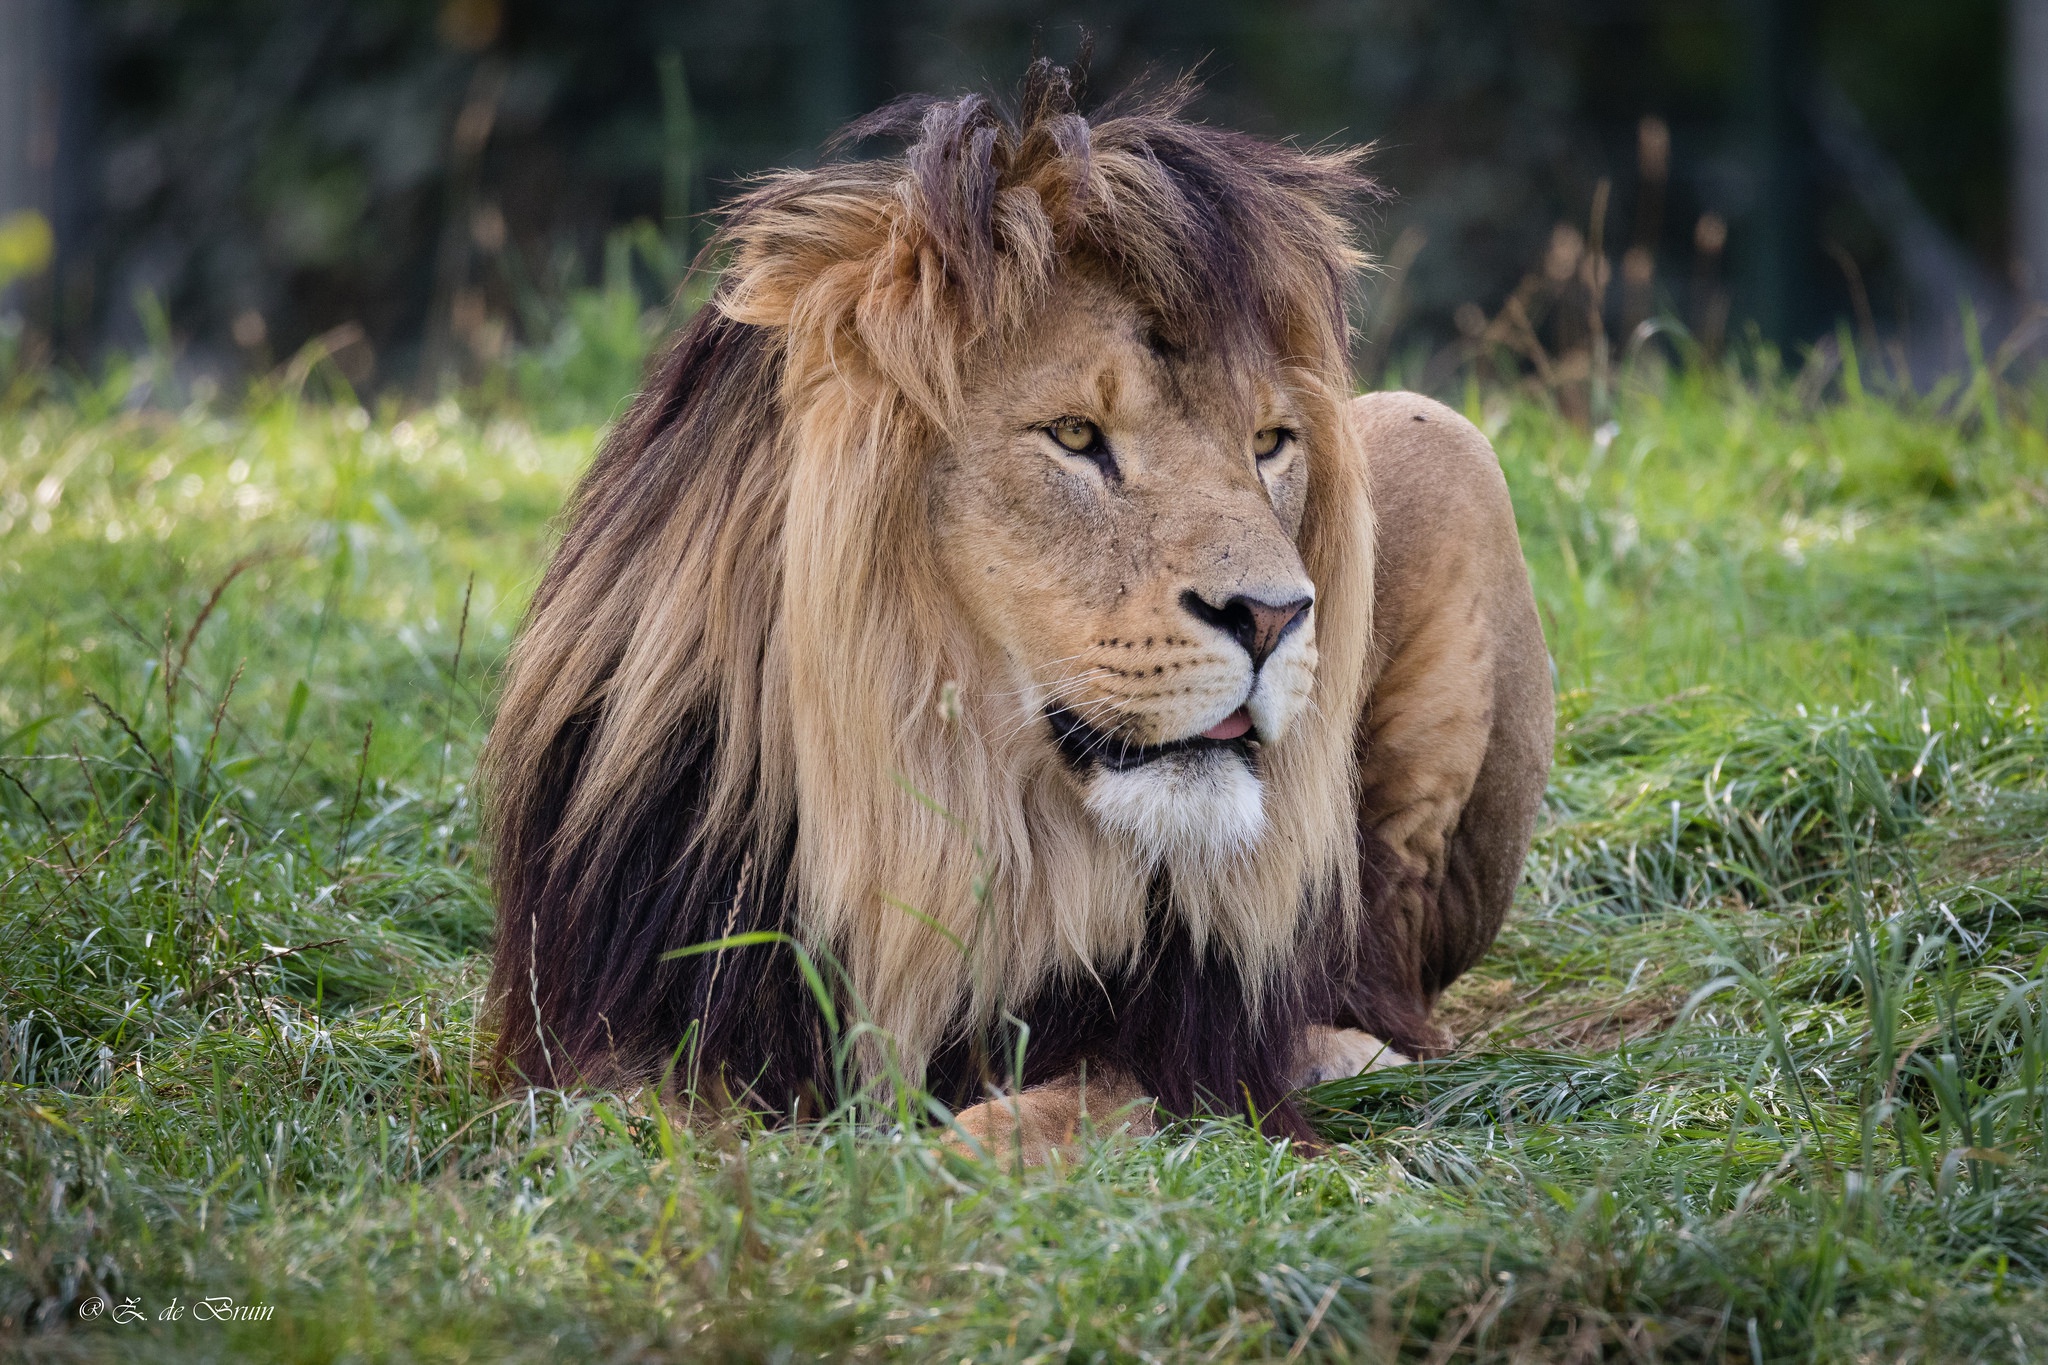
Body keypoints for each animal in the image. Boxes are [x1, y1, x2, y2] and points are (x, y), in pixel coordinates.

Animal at [483, 63, 1548, 1154]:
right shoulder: (620, 1019)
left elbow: (1021, 1123)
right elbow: (619, 1123)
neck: (949, 810)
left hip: (1444, 436)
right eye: (1075, 435)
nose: (1274, 617)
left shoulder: (1179, 1058)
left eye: (1268, 444)